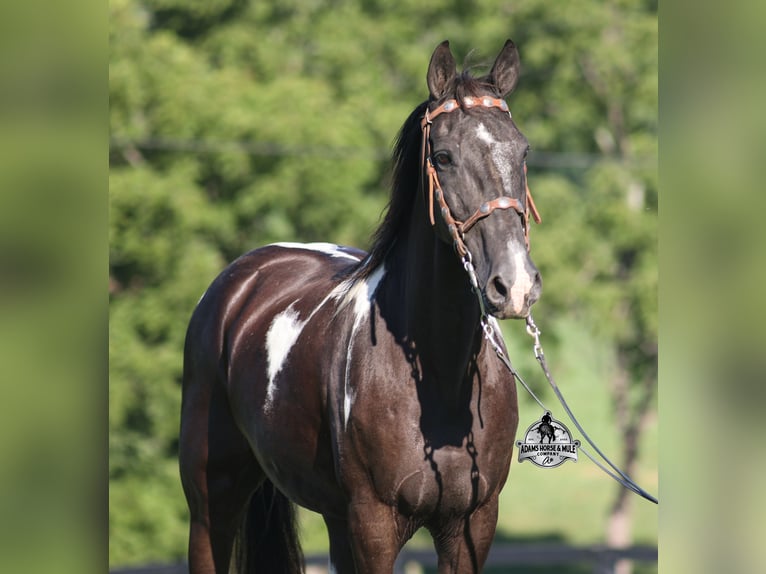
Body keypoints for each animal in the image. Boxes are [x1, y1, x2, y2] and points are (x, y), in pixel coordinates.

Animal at [179, 39, 542, 574]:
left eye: (523, 151)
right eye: (444, 156)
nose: (513, 285)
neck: (440, 381)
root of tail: (241, 278)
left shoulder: (473, 524)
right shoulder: (374, 525)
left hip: (334, 519)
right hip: (212, 505)